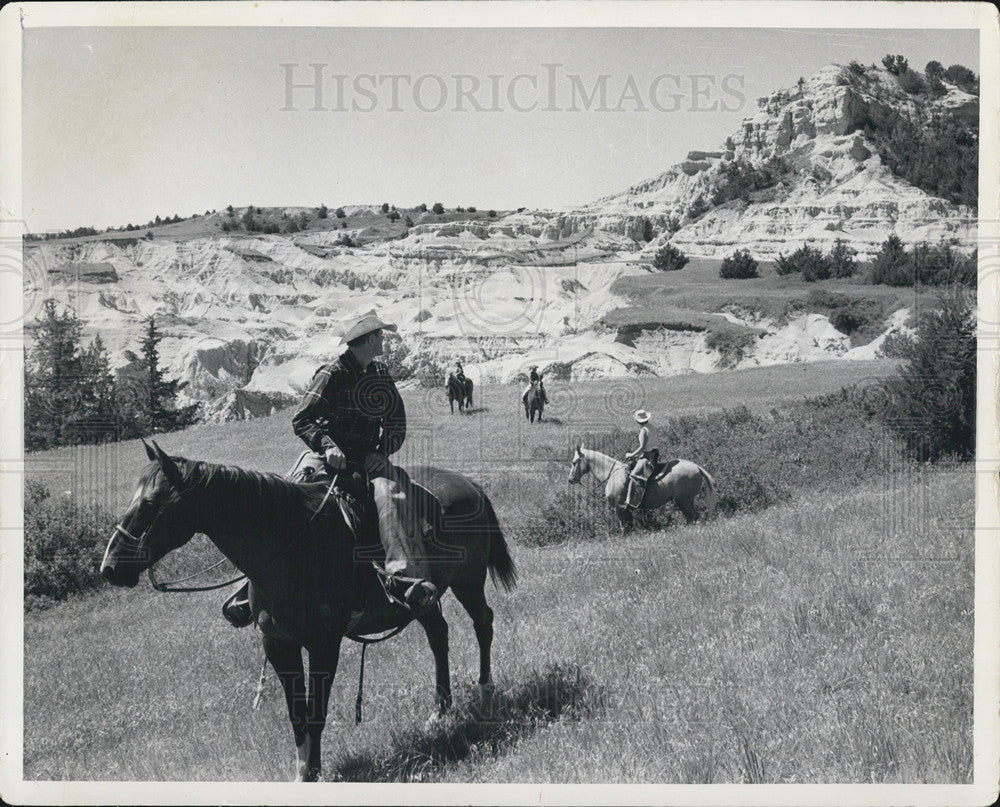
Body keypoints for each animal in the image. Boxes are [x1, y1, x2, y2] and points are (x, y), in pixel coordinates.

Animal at [101, 442, 516, 784]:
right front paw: (303, 770)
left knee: (483, 623)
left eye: (150, 505)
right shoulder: (277, 643)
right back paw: (439, 711)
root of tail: (469, 485)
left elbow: (316, 709)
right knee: (439, 634)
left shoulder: (323, 643)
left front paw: (314, 772)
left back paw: (485, 690)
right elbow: (296, 713)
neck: (290, 549)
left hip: (468, 581)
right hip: (425, 600)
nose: (109, 567)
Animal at [568, 446, 716, 532]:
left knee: (691, 518)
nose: (570, 479)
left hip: (682, 501)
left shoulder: (619, 508)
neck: (613, 473)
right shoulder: (625, 509)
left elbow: (625, 527)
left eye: (574, 462)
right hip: (689, 500)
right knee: (694, 517)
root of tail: (697, 467)